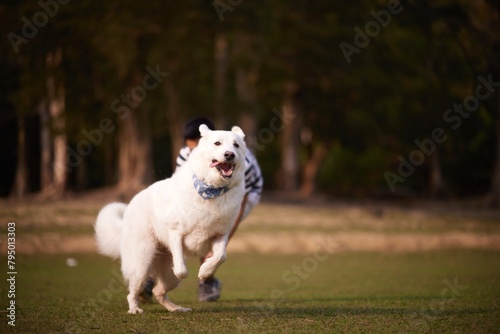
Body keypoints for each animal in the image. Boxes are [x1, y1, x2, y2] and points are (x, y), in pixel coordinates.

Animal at [94, 124, 246, 314]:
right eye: (217, 143)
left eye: (236, 145)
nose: (230, 154)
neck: (211, 190)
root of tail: (130, 205)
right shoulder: (175, 232)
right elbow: (181, 269)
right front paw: (191, 270)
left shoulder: (220, 235)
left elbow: (221, 256)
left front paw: (205, 271)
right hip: (141, 264)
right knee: (133, 292)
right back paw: (135, 309)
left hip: (165, 276)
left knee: (158, 291)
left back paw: (176, 309)